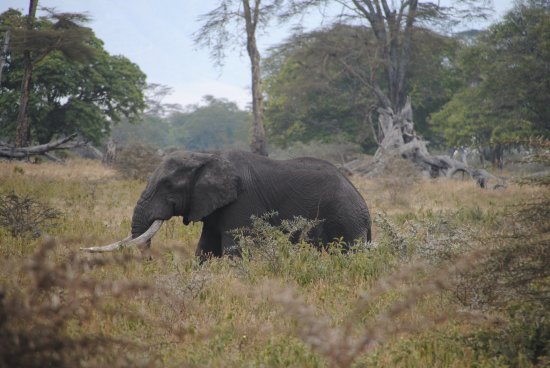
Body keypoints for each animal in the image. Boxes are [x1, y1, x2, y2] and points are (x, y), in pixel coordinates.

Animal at [82, 150, 374, 258]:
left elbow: (234, 250)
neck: (205, 157)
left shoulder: (243, 203)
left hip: (345, 220)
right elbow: (205, 249)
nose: (150, 262)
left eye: (168, 185)